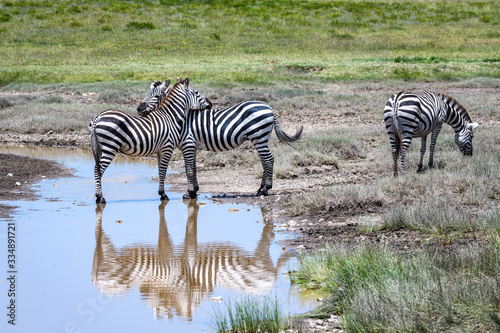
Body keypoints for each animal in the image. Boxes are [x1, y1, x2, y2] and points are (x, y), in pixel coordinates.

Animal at [136, 83, 304, 197]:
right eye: (146, 93)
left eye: (155, 96)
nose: (138, 109)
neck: (180, 118)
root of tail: (269, 108)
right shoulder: (192, 146)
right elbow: (194, 168)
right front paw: (195, 191)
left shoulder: (188, 144)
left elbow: (189, 169)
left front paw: (188, 193)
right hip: (260, 138)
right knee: (265, 160)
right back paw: (260, 188)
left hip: (259, 136)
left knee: (268, 160)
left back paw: (265, 189)